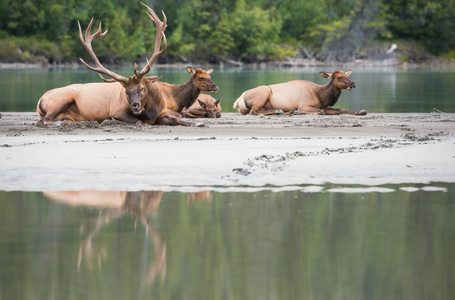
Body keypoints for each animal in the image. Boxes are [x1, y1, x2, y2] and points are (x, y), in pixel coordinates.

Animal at [36, 4, 191, 127]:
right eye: (126, 92)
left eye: (142, 88)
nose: (135, 106)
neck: (151, 112)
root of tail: (39, 101)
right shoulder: (117, 111)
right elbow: (137, 121)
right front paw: (111, 121)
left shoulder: (163, 112)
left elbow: (177, 120)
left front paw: (190, 123)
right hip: (61, 99)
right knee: (42, 120)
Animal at [233, 70, 368, 116]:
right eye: (339, 77)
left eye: (348, 75)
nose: (353, 84)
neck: (321, 95)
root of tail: (237, 101)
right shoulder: (304, 105)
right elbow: (322, 111)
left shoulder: (324, 105)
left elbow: (340, 110)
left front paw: (360, 111)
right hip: (264, 92)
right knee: (254, 111)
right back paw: (281, 111)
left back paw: (288, 111)